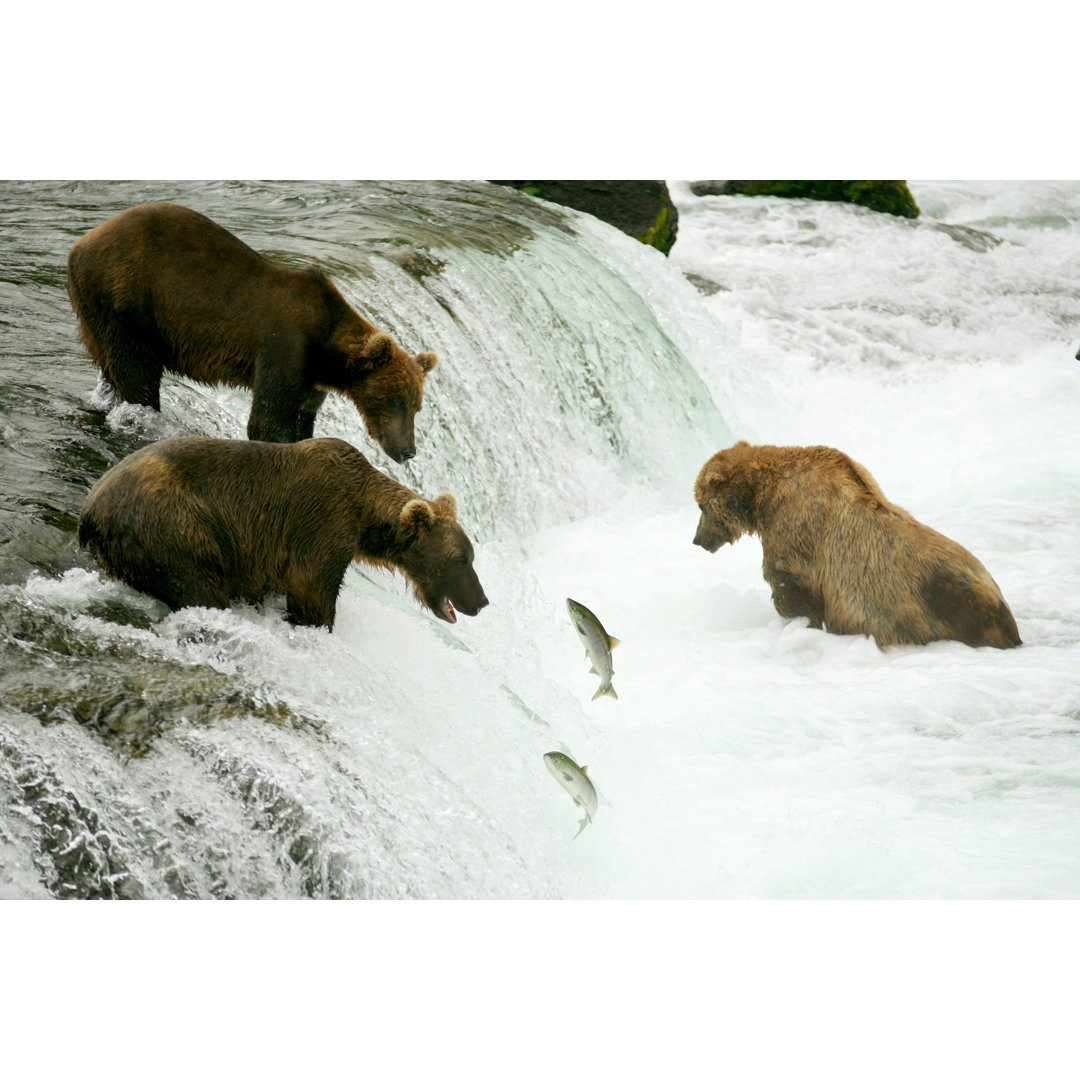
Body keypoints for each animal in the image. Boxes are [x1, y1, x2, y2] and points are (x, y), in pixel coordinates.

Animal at [66, 203, 438, 460]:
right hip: (128, 297)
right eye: (395, 399)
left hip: (98, 313)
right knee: (137, 370)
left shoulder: (312, 380)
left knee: (111, 368)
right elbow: (269, 420)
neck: (327, 352)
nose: (408, 450)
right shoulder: (285, 345)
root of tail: (81, 242)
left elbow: (301, 418)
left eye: (416, 405)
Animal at [78, 434, 490, 630]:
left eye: (470, 557)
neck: (365, 517)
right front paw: (316, 623)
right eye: (460, 559)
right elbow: (312, 588)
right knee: (199, 584)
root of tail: (90, 511)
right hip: (175, 526)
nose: (482, 601)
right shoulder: (322, 522)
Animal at [691, 440, 1019, 648]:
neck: (764, 498)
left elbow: (791, 587)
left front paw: (796, 624)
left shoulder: (797, 531)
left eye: (701, 505)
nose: (697, 539)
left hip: (943, 604)